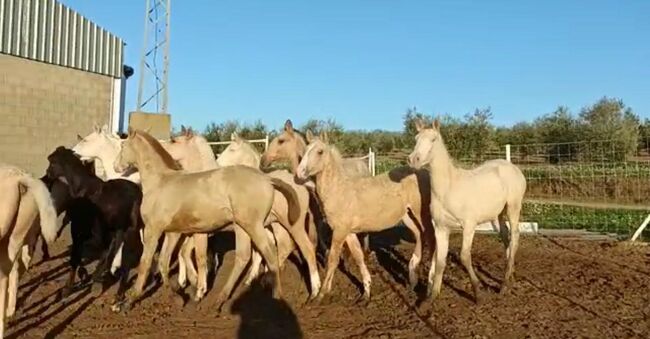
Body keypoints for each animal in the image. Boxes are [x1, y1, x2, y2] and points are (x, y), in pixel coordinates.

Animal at [45, 146, 143, 300]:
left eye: (52, 162)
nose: (47, 174)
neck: (83, 188)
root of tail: (138, 192)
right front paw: (87, 276)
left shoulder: (80, 230)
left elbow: (75, 258)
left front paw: (67, 288)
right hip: (121, 228)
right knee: (117, 251)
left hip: (128, 229)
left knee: (123, 258)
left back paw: (117, 292)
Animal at [294, 131, 430, 302]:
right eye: (305, 150)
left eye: (320, 151)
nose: (299, 174)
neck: (339, 190)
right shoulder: (349, 233)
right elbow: (358, 256)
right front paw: (366, 290)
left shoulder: (339, 231)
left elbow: (333, 259)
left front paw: (322, 293)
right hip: (407, 215)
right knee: (419, 235)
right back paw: (413, 277)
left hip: (421, 213)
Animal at [410, 119, 528, 302]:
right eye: (416, 138)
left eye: (433, 139)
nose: (413, 159)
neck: (448, 189)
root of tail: (513, 168)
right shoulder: (441, 228)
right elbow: (440, 261)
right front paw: (432, 297)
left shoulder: (469, 226)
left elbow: (464, 256)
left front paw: (477, 292)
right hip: (497, 215)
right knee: (505, 237)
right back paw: (511, 276)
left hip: (513, 207)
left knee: (514, 237)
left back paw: (503, 286)